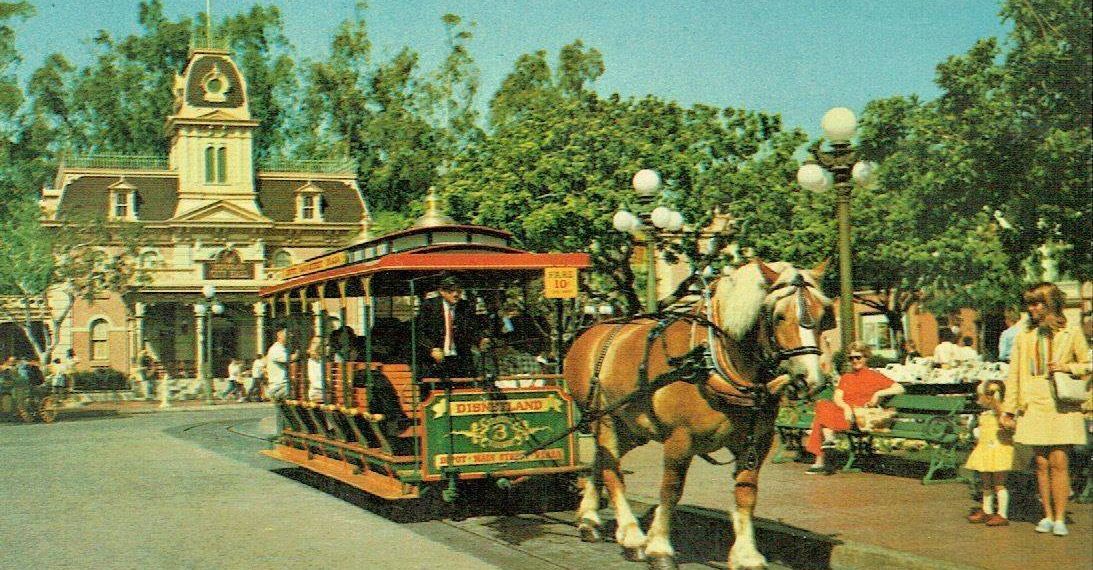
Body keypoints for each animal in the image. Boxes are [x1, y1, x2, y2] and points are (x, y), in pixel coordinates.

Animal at [563, 259, 830, 570]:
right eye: (779, 316)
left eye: (824, 316)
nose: (810, 379)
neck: (710, 359)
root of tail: (587, 334)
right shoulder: (680, 439)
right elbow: (671, 490)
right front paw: (659, 547)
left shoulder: (757, 442)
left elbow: (746, 493)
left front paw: (746, 555)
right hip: (603, 418)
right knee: (611, 470)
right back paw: (632, 537)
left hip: (630, 427)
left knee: (602, 460)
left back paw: (589, 520)